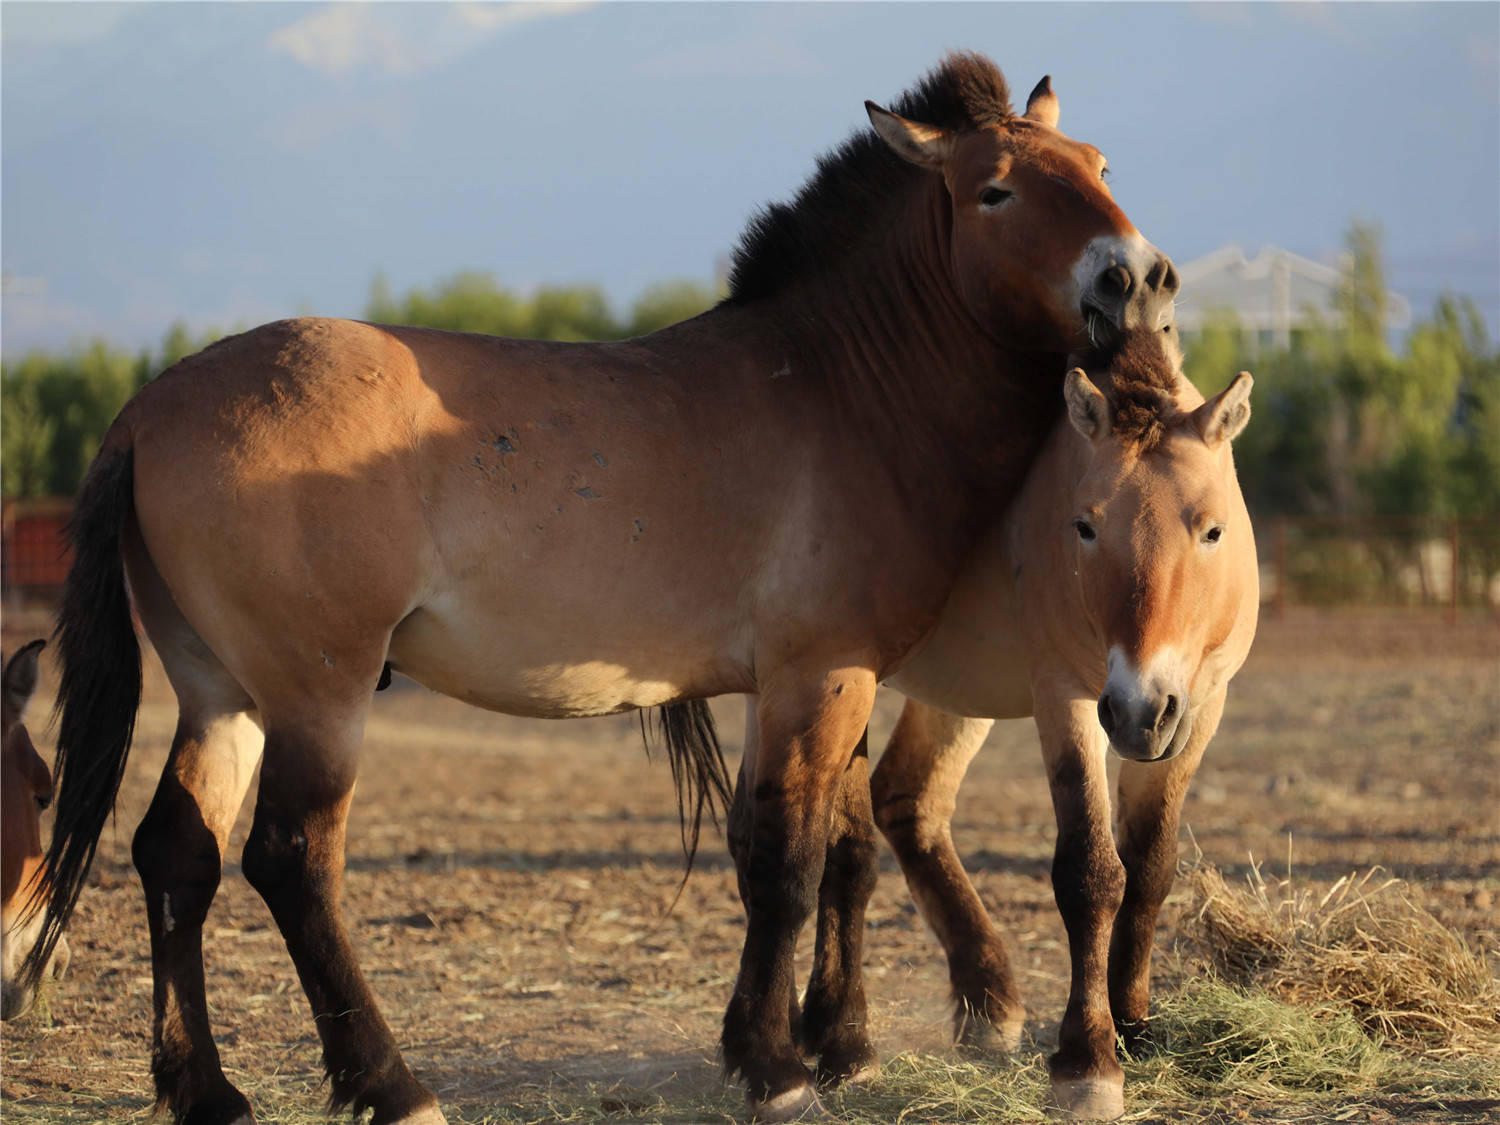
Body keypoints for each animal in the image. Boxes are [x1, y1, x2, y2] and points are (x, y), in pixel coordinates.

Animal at [20, 55, 1182, 1125]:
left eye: (1098, 166)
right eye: (995, 190)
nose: (1139, 278)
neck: (840, 388)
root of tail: (154, 406)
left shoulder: (803, 685)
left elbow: (809, 850)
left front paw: (811, 1049)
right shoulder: (823, 676)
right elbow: (791, 863)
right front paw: (780, 1072)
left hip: (223, 693)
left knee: (179, 853)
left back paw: (207, 1091)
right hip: (318, 694)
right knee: (291, 859)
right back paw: (391, 1086)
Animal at [756, 330, 1260, 1122]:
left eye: (1213, 529)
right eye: (1084, 526)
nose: (1141, 708)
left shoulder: (1200, 708)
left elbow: (1150, 864)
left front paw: (1134, 1023)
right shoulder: (1068, 699)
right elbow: (1090, 871)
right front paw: (1088, 1060)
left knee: (905, 802)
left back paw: (980, 1003)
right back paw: (825, 1038)